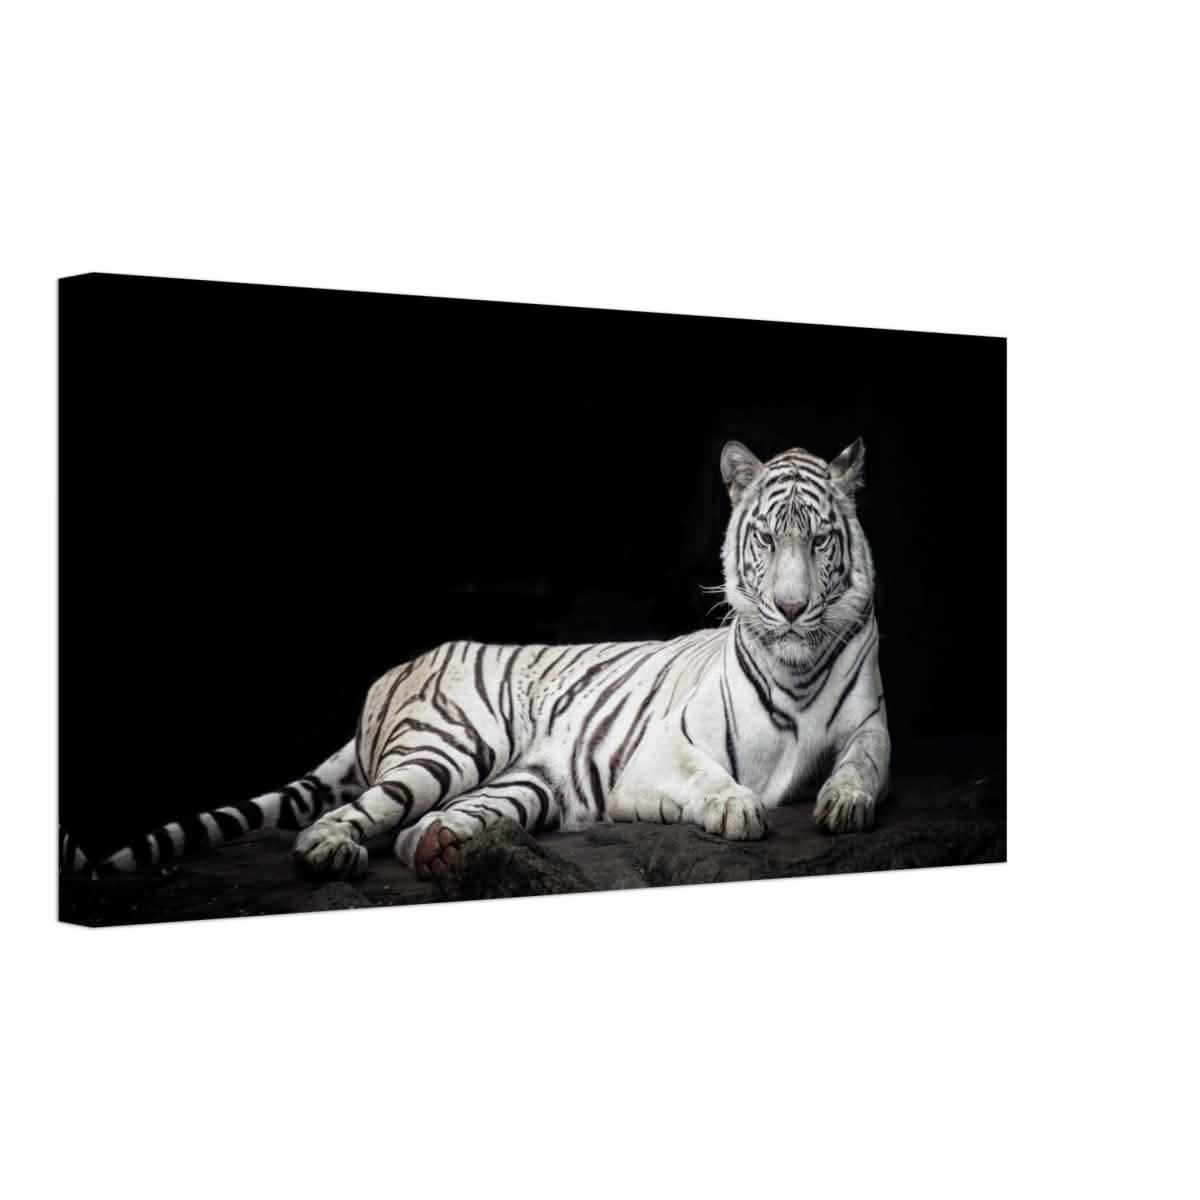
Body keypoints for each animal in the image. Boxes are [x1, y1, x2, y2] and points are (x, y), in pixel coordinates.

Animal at [67, 438, 890, 883]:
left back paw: (440, 850)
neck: (797, 664)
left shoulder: (871, 725)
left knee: (412, 832)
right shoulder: (658, 753)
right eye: (767, 539)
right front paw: (737, 805)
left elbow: (863, 764)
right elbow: (708, 774)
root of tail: (395, 670)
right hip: (452, 747)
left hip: (529, 783)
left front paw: (844, 803)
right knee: (344, 819)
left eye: (819, 539)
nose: (791, 608)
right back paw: (331, 853)